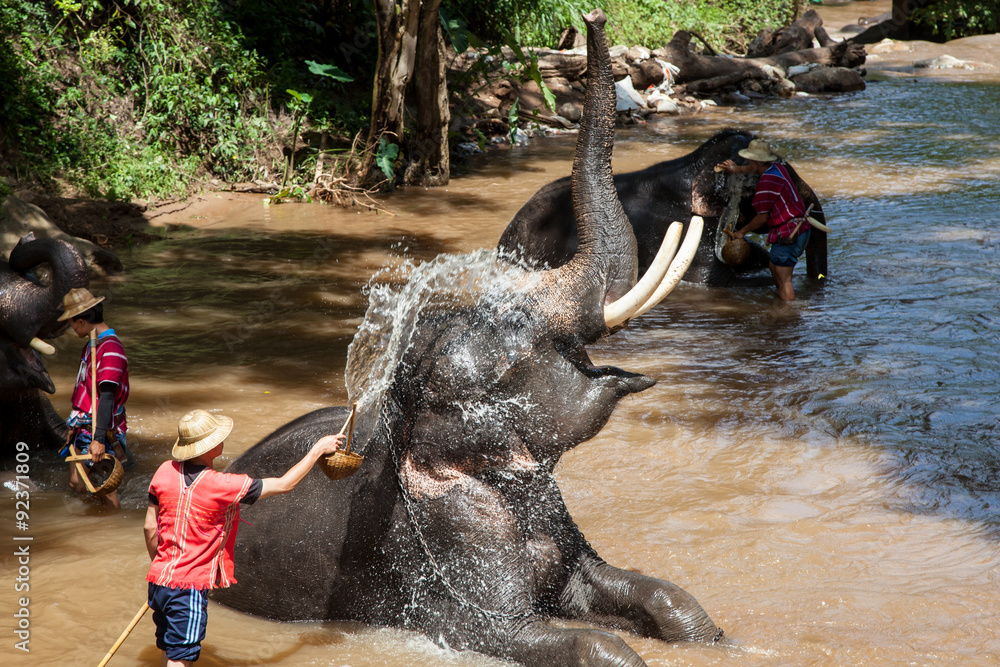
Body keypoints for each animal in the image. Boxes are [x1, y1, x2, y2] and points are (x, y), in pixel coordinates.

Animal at [213, 11, 721, 667]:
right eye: (516, 333)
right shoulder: (444, 555)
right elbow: (544, 636)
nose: (592, 16)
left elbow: (657, 596)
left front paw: (722, 641)